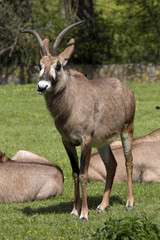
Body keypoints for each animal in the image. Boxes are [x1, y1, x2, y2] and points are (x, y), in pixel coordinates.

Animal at [21, 21, 136, 221]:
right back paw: (103, 206)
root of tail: (125, 88)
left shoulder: (85, 140)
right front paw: (75, 210)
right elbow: (75, 173)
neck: (71, 104)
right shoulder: (67, 142)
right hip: (103, 142)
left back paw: (129, 204)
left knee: (128, 162)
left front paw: (84, 214)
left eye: (58, 65)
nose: (42, 86)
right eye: (40, 65)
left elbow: (83, 174)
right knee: (112, 165)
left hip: (127, 130)